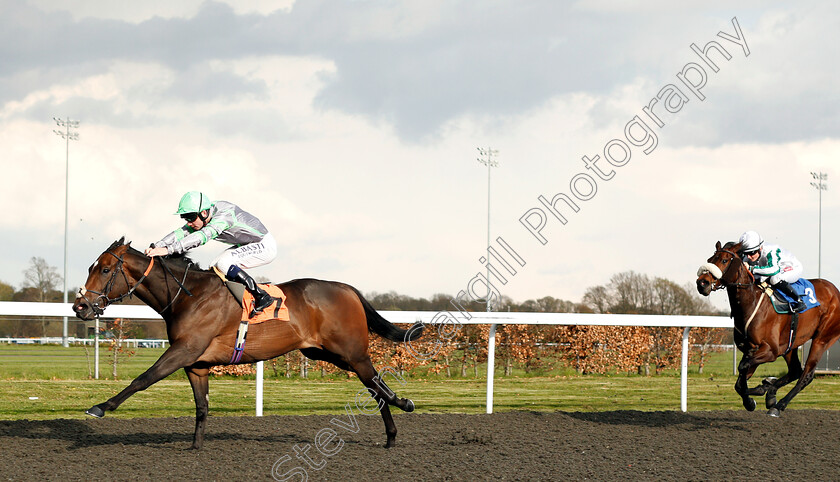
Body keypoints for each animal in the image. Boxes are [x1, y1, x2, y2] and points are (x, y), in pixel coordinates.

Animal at [72, 237, 424, 448]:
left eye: (106, 269)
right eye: (91, 267)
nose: (80, 307)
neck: (189, 296)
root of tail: (347, 288)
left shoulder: (184, 350)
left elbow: (143, 379)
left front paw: (100, 407)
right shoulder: (196, 364)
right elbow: (201, 406)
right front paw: (195, 446)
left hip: (351, 351)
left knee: (374, 382)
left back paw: (395, 425)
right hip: (323, 353)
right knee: (374, 386)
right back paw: (400, 411)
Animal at [696, 240, 840, 414]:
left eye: (724, 260)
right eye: (710, 259)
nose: (702, 283)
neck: (750, 303)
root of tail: (835, 291)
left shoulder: (770, 350)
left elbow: (743, 368)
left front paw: (756, 395)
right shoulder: (751, 349)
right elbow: (740, 380)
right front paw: (756, 394)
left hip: (822, 338)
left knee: (807, 374)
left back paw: (779, 404)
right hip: (790, 344)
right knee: (795, 370)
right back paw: (770, 393)